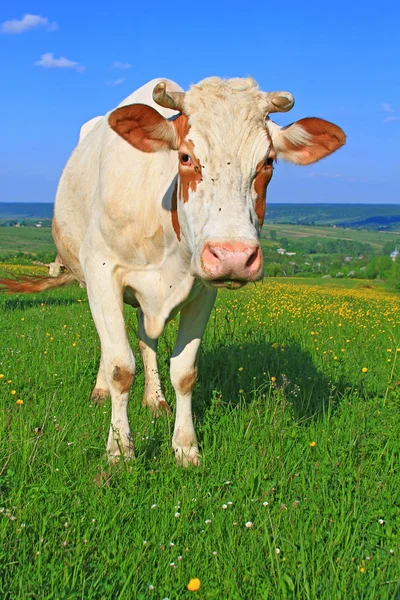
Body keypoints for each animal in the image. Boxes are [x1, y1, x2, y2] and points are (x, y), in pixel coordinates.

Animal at [0, 77, 346, 466]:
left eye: (268, 162)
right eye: (185, 157)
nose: (234, 256)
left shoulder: (204, 290)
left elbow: (184, 371)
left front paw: (185, 445)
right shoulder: (103, 271)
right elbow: (120, 366)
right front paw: (120, 450)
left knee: (145, 339)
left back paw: (155, 399)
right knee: (111, 346)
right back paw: (101, 391)